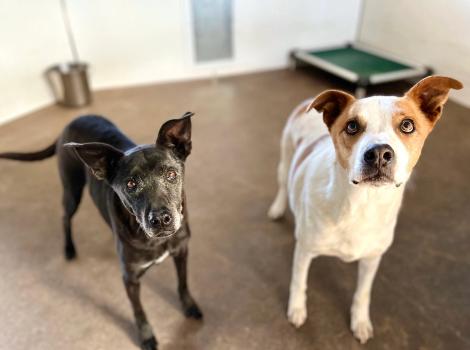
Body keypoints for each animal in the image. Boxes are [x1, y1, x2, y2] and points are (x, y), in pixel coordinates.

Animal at [0, 113, 202, 348]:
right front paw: (146, 336)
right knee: (65, 218)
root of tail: (73, 121)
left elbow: (183, 283)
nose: (160, 220)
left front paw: (189, 305)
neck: (154, 240)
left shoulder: (182, 252)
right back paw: (69, 249)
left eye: (171, 174)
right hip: (72, 191)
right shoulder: (130, 278)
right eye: (130, 184)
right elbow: (139, 311)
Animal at [268, 76, 462, 342]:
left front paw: (360, 322)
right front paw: (297, 309)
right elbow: (299, 282)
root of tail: (306, 101)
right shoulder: (305, 251)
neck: (362, 204)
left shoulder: (372, 259)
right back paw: (277, 208)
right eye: (352, 126)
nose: (379, 153)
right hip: (285, 160)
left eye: (407, 125)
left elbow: (363, 293)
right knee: (281, 184)